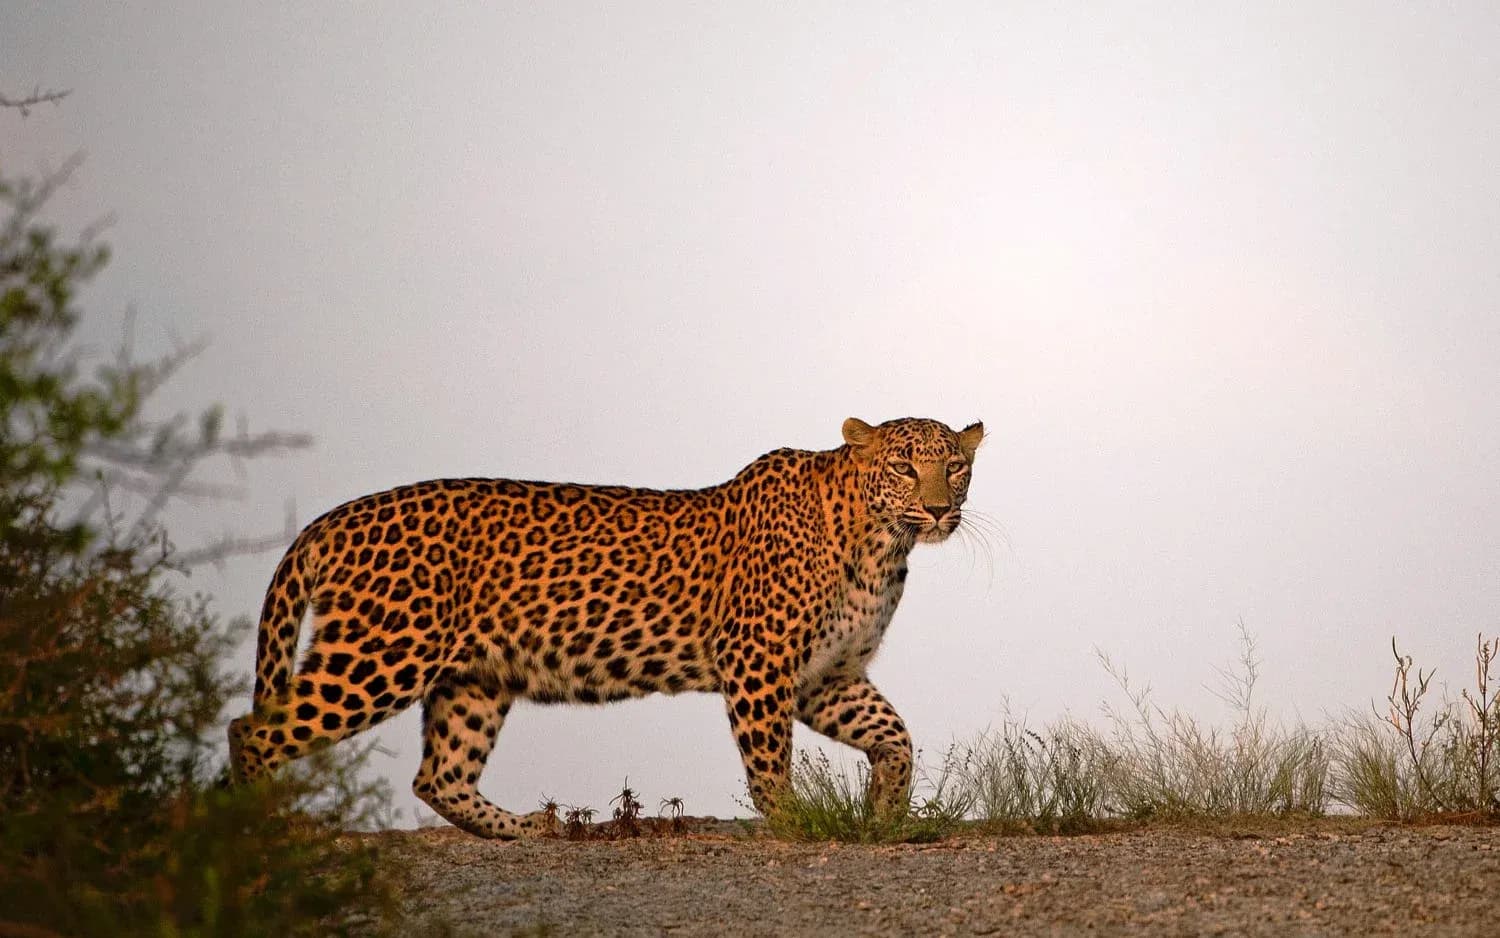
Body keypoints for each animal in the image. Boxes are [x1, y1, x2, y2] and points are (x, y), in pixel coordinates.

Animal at [229, 416, 984, 838]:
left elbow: (895, 736)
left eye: (955, 465)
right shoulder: (759, 664)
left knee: (438, 775)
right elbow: (769, 762)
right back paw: (265, 831)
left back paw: (524, 830)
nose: (939, 509)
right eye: (903, 466)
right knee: (253, 729)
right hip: (382, 654)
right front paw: (799, 823)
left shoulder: (828, 675)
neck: (882, 544)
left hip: (473, 678)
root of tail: (332, 519)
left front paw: (884, 811)